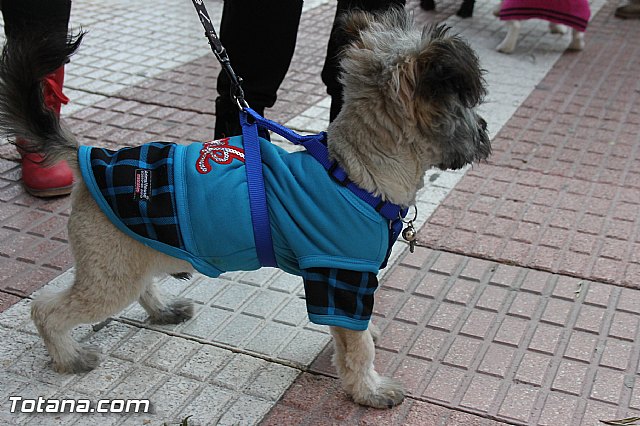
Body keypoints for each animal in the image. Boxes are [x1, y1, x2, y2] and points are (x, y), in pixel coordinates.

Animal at [0, 9, 490, 410]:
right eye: (466, 107)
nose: (485, 132)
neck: (355, 173)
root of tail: (89, 158)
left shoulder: (345, 286)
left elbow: (354, 335)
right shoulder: (340, 278)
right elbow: (357, 350)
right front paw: (367, 390)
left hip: (133, 252)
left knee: (141, 284)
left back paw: (161, 310)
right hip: (110, 276)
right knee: (45, 310)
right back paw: (68, 357)